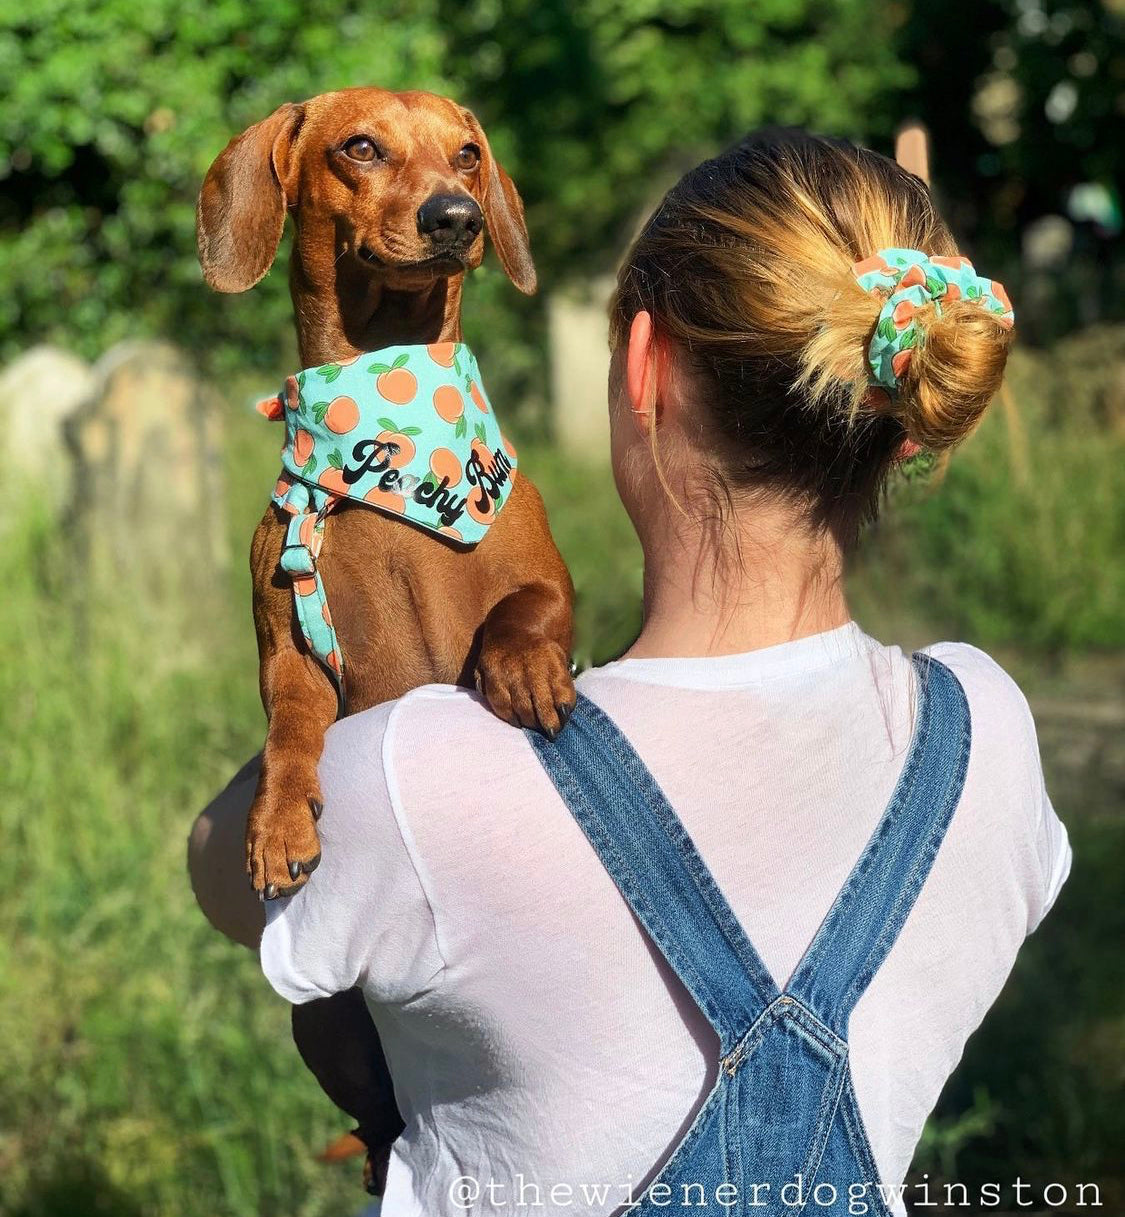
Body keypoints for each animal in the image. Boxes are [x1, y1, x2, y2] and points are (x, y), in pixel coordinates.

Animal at [197, 90, 574, 1192]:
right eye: (359, 147)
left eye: (469, 153)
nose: (458, 217)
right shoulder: (291, 653)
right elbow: (288, 726)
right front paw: (279, 820)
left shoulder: (547, 573)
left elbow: (523, 608)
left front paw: (521, 667)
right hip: (318, 1019)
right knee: (374, 1111)